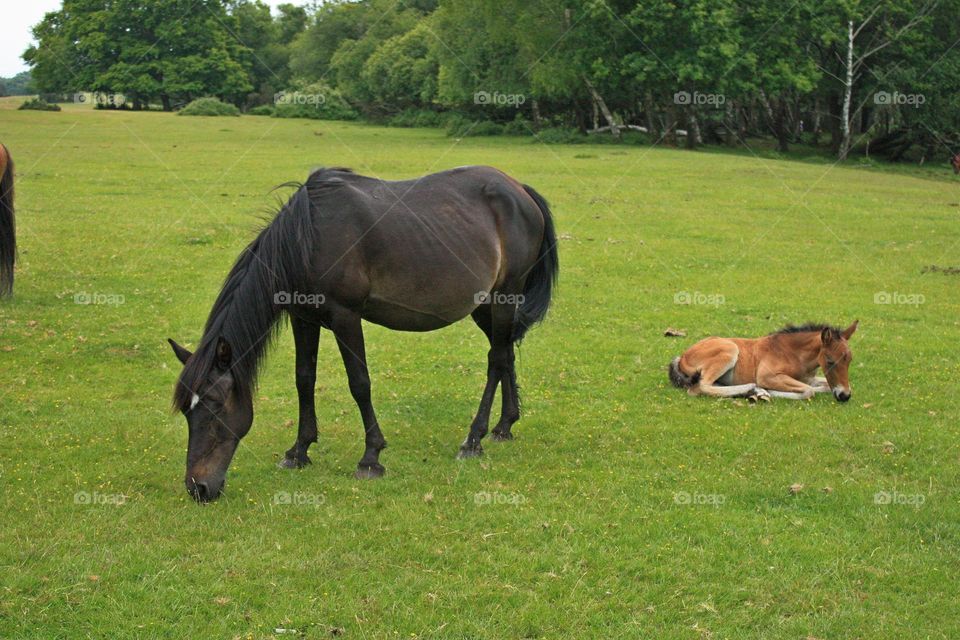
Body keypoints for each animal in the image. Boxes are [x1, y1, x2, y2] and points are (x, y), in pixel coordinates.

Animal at [168, 165, 559, 502]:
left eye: (215, 407)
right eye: (187, 410)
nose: (198, 488)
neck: (307, 239)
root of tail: (520, 191)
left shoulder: (346, 317)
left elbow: (359, 383)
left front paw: (371, 457)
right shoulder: (302, 318)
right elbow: (304, 379)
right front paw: (299, 451)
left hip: (505, 295)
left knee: (496, 360)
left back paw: (473, 439)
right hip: (485, 305)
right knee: (505, 353)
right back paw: (504, 426)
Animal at [669, 321, 858, 402]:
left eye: (849, 360)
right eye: (830, 361)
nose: (844, 396)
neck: (793, 353)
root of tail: (683, 356)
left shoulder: (809, 378)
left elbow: (821, 386)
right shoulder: (767, 376)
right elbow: (808, 391)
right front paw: (769, 391)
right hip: (730, 349)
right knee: (700, 387)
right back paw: (753, 389)